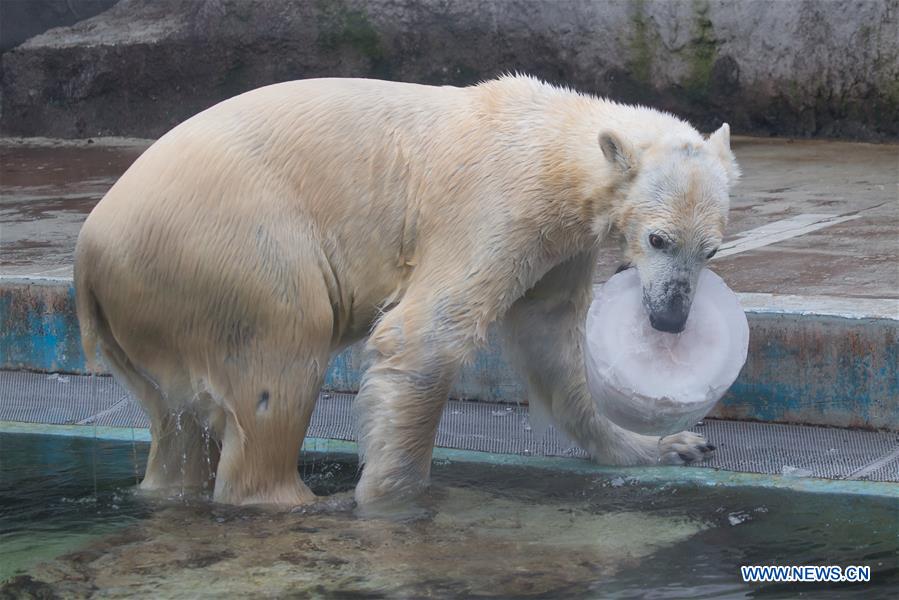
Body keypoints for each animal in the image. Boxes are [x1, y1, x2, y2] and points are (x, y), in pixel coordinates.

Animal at [75, 74, 740, 506]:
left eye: (709, 249)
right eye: (657, 239)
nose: (671, 317)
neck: (553, 144)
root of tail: (89, 250)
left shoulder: (561, 242)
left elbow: (550, 338)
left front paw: (667, 446)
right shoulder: (497, 206)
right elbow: (425, 337)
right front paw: (391, 497)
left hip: (156, 312)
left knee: (177, 427)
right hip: (234, 253)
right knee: (277, 368)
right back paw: (298, 500)